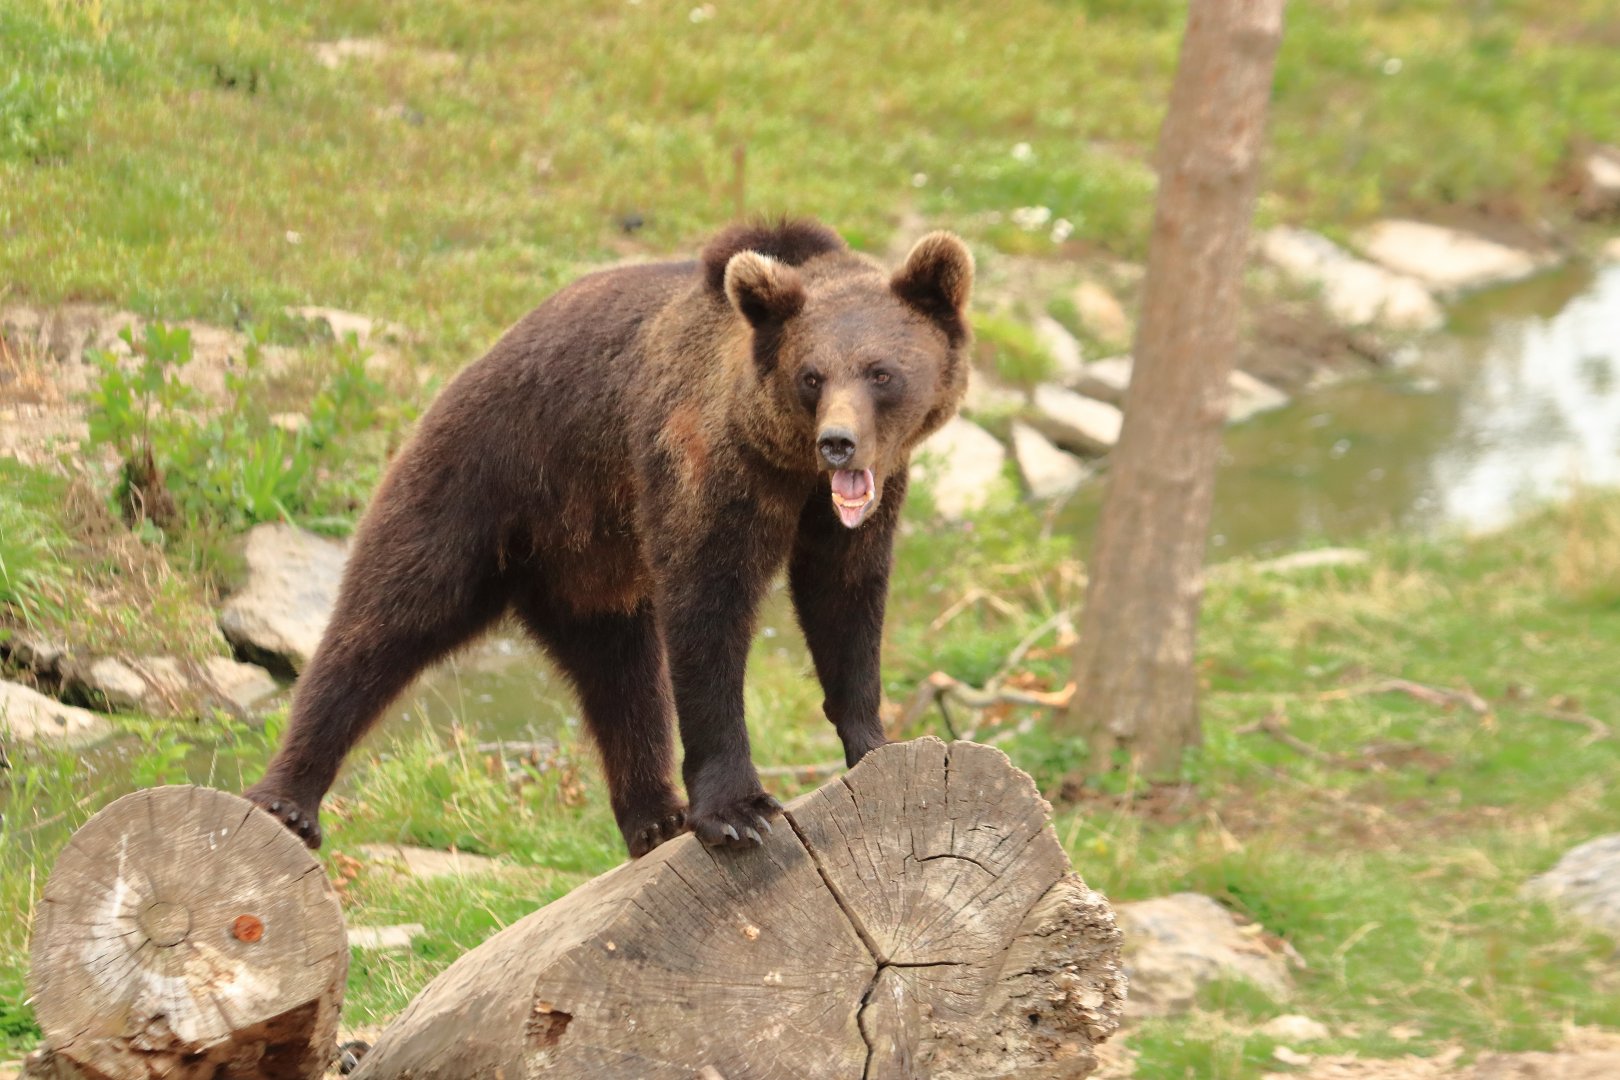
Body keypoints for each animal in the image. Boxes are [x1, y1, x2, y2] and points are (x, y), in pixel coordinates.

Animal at [244, 219, 973, 856]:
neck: (786, 467)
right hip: (480, 481)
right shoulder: (703, 469)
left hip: (592, 575)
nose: (838, 443)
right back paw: (287, 797)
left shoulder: (854, 506)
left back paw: (655, 817)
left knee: (623, 683)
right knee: (385, 621)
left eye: (881, 371)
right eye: (812, 376)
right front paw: (737, 811)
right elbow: (709, 612)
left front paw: (876, 743)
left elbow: (844, 597)